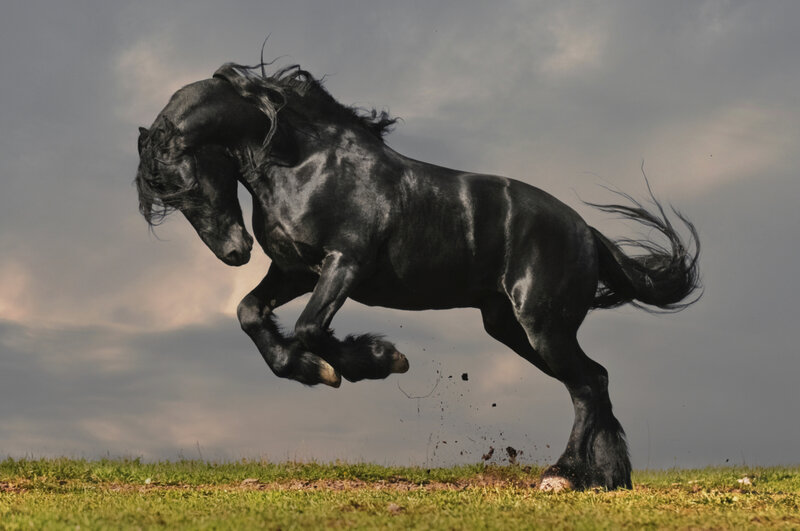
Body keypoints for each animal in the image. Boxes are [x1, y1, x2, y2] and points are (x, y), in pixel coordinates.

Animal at [135, 61, 700, 491]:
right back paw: (606, 478)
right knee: (595, 379)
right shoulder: (295, 269)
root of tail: (586, 232)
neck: (305, 164)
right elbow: (251, 313)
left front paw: (376, 360)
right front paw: (312, 369)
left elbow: (310, 328)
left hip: (543, 325)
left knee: (586, 385)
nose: (234, 252)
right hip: (512, 328)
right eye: (167, 196)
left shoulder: (344, 263)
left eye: (186, 183)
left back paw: (562, 475)